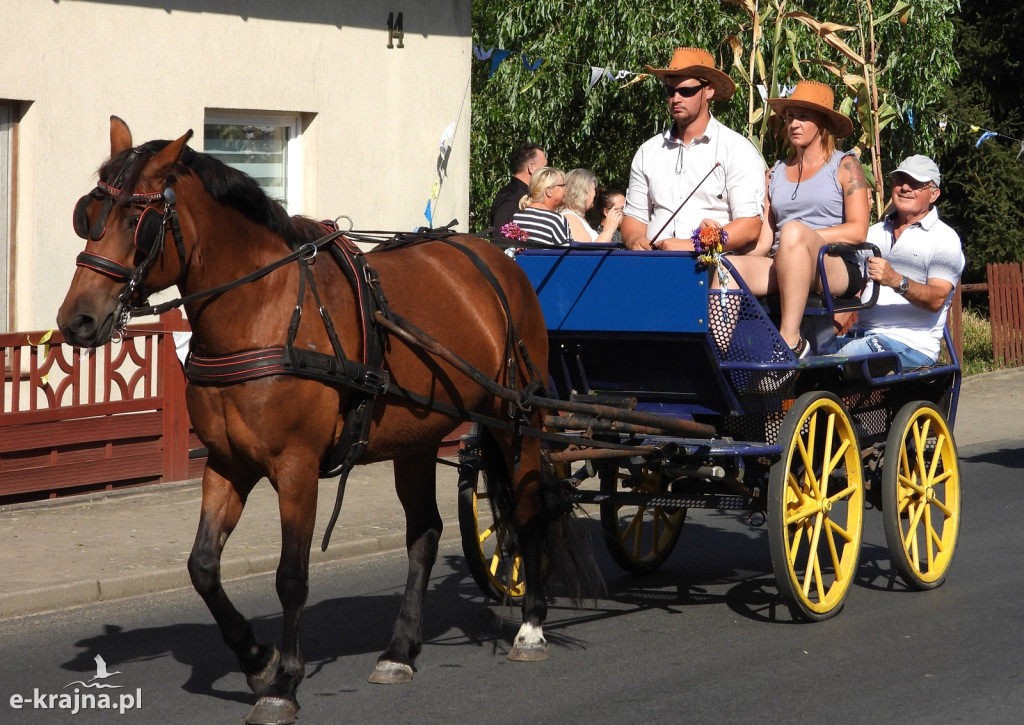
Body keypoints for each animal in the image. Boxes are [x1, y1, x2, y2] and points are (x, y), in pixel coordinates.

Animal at [58, 116, 593, 720]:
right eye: (88, 214)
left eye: (138, 221)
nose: (76, 320)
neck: (264, 312)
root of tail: (498, 259)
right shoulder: (226, 464)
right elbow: (202, 567)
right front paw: (256, 657)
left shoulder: (296, 468)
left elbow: (292, 576)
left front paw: (283, 682)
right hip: (417, 438)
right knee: (425, 532)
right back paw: (400, 650)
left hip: (514, 420)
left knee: (528, 508)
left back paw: (531, 627)